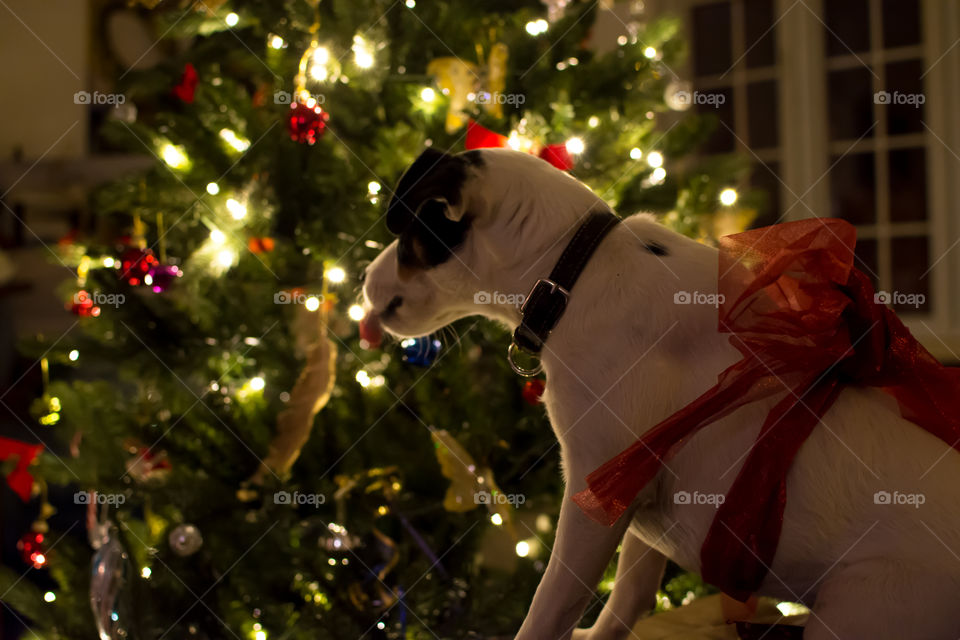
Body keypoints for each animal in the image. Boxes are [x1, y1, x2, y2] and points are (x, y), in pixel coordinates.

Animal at [364, 148, 960, 636]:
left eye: (408, 238)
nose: (364, 285)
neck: (571, 274)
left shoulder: (591, 497)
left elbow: (548, 610)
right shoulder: (630, 488)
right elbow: (628, 595)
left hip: (856, 609)